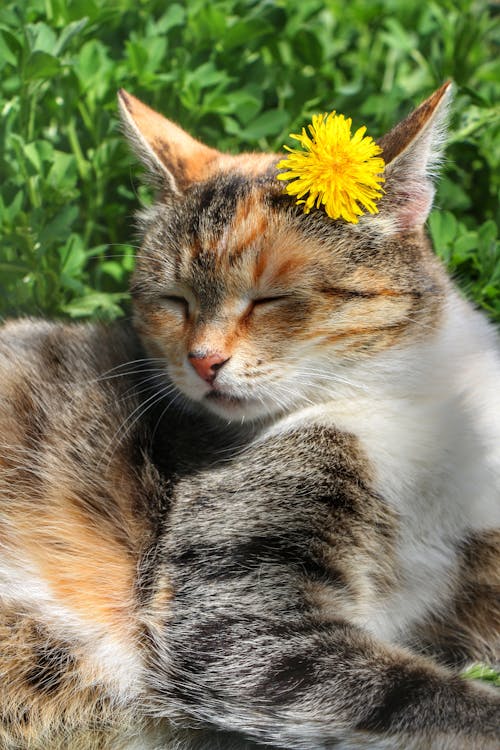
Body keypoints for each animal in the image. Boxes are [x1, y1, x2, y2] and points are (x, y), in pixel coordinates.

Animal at [0, 83, 498, 750]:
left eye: (271, 299)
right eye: (174, 300)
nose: (203, 359)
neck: (404, 400)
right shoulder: (244, 617)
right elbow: (437, 701)